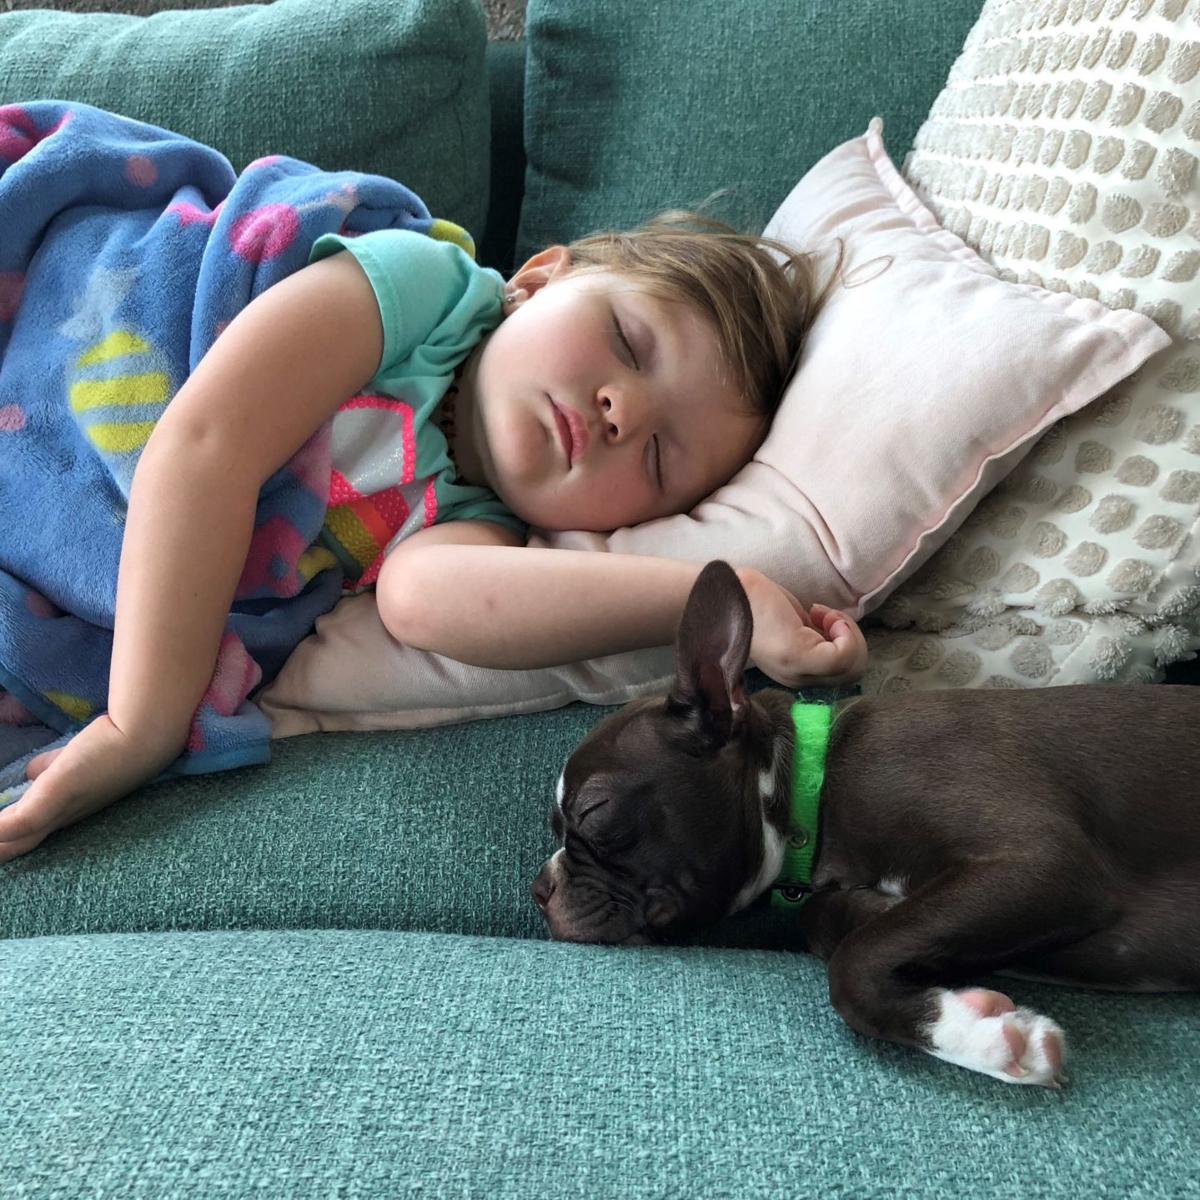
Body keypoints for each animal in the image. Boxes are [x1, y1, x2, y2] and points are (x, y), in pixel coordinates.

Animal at [535, 559, 1200, 1089]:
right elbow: (833, 921)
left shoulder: (1043, 862)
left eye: (594, 812)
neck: (816, 781)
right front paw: (891, 927)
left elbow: (853, 966)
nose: (540, 888)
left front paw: (981, 1038)